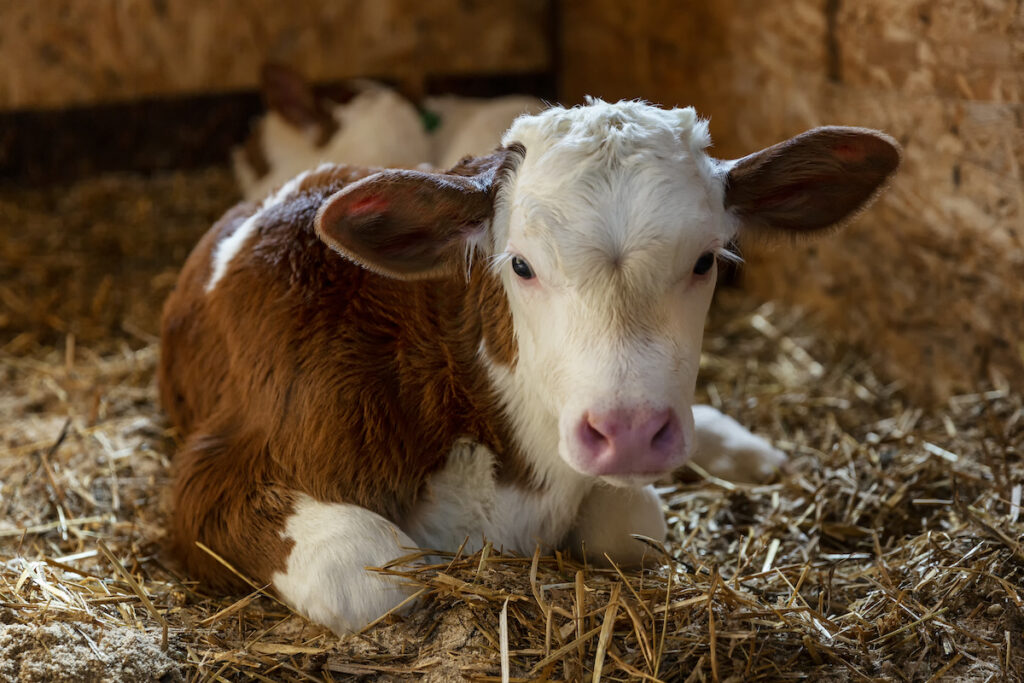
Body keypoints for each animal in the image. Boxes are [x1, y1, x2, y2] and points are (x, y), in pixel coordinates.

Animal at [157, 100, 897, 634]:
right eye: (520, 264)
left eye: (705, 260)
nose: (630, 432)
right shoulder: (215, 476)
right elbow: (372, 575)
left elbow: (632, 524)